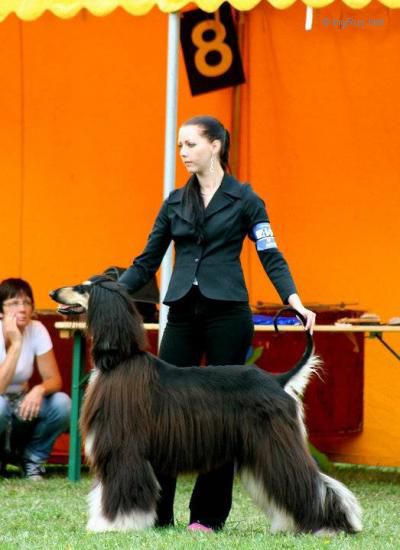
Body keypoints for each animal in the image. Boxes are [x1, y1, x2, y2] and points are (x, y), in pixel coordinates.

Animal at [50, 276, 362, 534]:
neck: (120, 359)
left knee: (309, 483)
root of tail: (277, 379)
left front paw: (116, 525)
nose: (52, 292)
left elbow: (123, 489)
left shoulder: (124, 447)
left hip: (273, 441)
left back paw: (333, 526)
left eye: (83, 288)